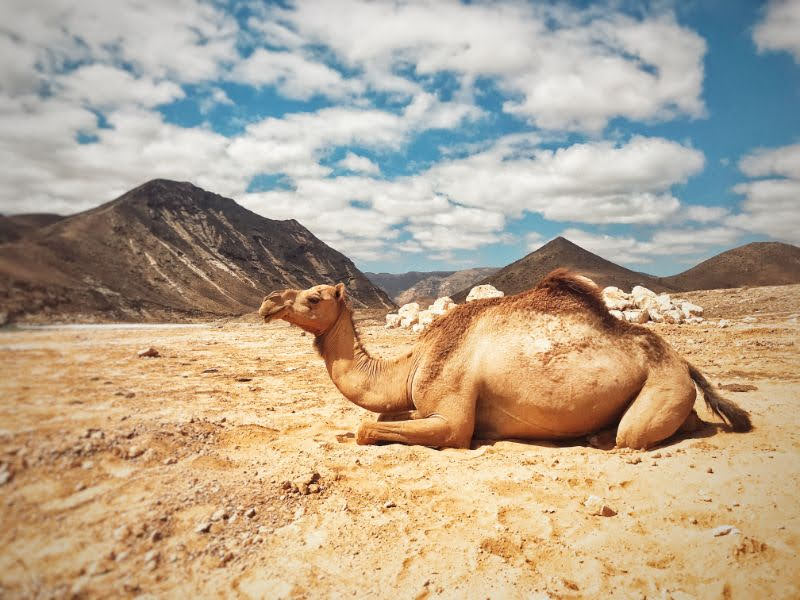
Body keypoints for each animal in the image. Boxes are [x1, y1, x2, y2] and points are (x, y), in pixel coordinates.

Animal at [258, 270, 752, 448]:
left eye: (315, 298)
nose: (268, 303)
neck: (415, 361)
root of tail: (682, 362)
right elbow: (385, 417)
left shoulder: (453, 419)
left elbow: (368, 427)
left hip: (662, 386)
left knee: (637, 433)